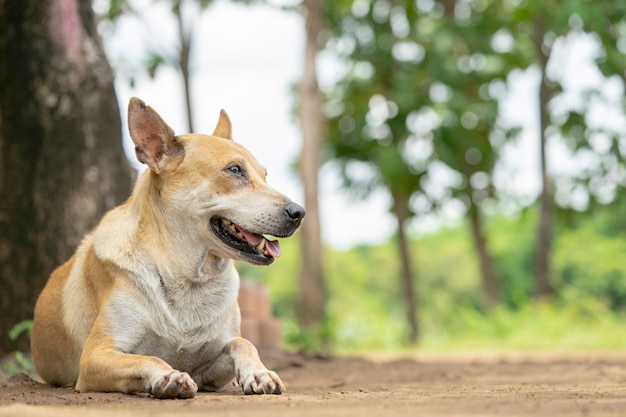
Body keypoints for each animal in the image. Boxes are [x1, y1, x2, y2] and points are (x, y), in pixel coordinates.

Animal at [31, 96, 304, 396]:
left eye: (265, 176)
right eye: (235, 170)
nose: (299, 213)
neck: (189, 278)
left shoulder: (209, 372)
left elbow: (242, 342)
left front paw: (259, 372)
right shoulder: (95, 356)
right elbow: (149, 357)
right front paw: (167, 376)